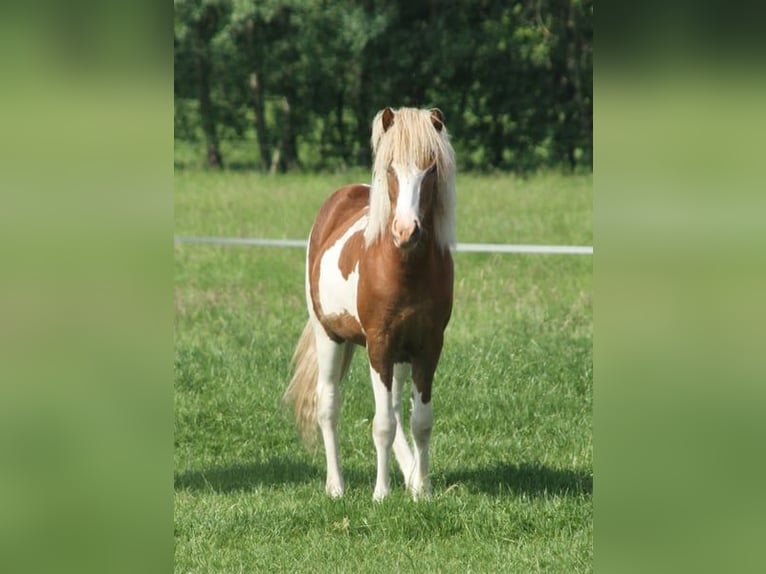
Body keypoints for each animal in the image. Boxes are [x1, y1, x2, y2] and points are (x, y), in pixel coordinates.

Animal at [283, 107, 456, 501]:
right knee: (328, 405)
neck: (404, 269)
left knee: (395, 409)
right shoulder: (379, 344)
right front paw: (381, 494)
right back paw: (336, 486)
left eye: (431, 168)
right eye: (391, 168)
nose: (406, 231)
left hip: (399, 355)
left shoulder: (427, 346)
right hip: (330, 336)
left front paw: (423, 491)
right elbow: (382, 425)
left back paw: (410, 476)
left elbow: (420, 422)